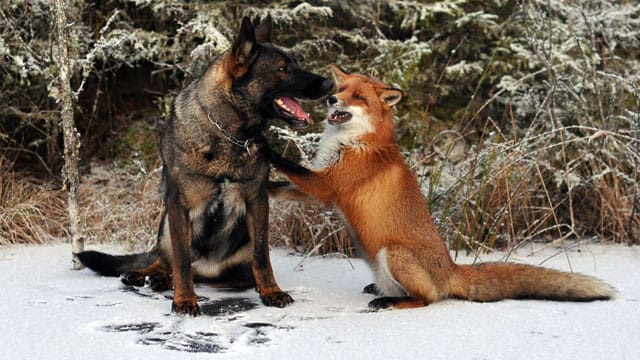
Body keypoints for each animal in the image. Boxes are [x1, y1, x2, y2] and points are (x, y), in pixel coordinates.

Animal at [77, 16, 332, 316]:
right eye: (283, 68)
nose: (329, 83)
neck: (229, 135)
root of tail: (206, 269)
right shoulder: (179, 205)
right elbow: (181, 260)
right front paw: (185, 299)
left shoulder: (257, 201)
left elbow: (262, 256)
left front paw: (271, 291)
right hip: (166, 227)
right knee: (165, 260)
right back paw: (147, 275)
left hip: (235, 263)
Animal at [268, 67, 616, 310]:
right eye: (341, 90)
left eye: (358, 97)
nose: (331, 99)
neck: (354, 142)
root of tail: (450, 268)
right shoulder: (318, 186)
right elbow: (285, 185)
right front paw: (267, 188)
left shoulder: (329, 186)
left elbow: (290, 166)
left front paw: (263, 147)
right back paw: (380, 290)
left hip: (393, 252)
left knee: (428, 298)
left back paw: (388, 302)